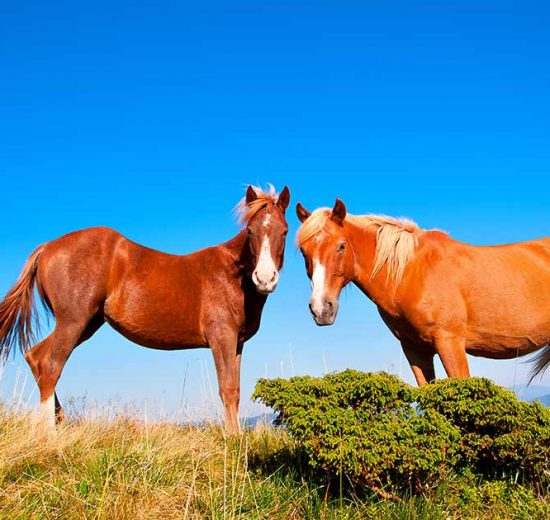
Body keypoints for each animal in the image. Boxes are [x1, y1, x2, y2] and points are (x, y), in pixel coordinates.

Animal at [0, 185, 292, 432]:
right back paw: (49, 434)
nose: (265, 278)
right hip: (73, 321)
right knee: (51, 365)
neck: (232, 273)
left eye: (284, 231)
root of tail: (47, 247)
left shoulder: (237, 343)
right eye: (251, 231)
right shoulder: (222, 337)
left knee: (36, 357)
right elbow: (228, 390)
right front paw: (233, 441)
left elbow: (236, 390)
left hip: (87, 324)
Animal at [300, 199, 550, 386]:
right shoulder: (415, 349)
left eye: (341, 246)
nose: (321, 309)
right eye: (303, 251)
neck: (413, 272)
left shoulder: (450, 343)